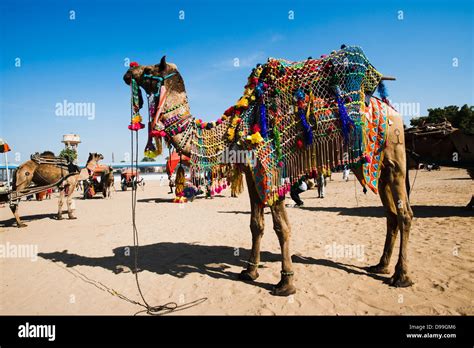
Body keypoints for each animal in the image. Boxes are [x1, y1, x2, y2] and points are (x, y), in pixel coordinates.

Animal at [124, 47, 412, 296]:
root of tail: (392, 111)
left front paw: (285, 283)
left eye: (149, 69)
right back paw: (381, 266)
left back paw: (401, 276)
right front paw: (249, 271)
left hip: (395, 158)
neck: (232, 130)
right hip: (377, 167)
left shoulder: (271, 169)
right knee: (391, 214)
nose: (128, 72)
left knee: (405, 214)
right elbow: (256, 224)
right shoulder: (253, 173)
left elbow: (281, 227)